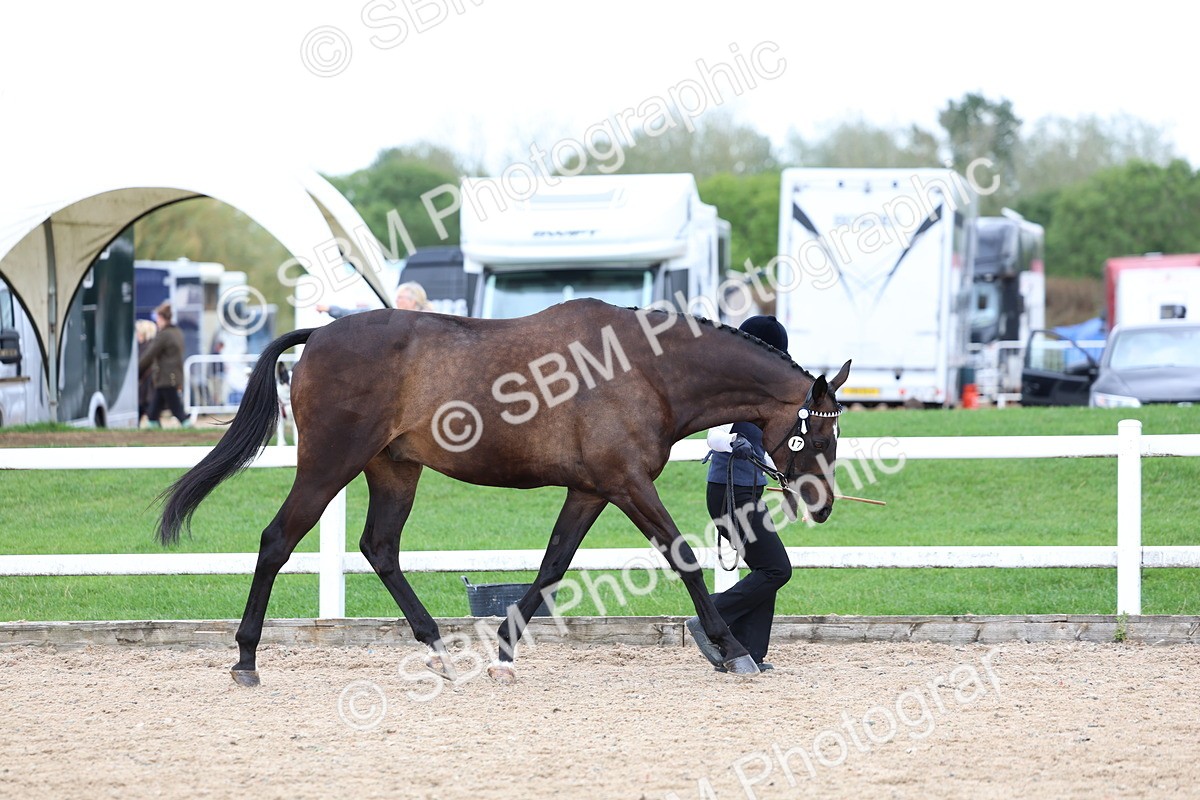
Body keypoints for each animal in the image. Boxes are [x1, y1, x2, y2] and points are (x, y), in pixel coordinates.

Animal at [157, 299, 851, 685]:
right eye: (816, 434)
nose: (823, 505)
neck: (646, 369)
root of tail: (321, 335)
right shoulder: (626, 482)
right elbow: (681, 556)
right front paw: (731, 650)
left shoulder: (590, 489)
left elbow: (551, 567)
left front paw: (504, 651)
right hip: (329, 464)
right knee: (278, 540)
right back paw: (246, 659)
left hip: (393, 470)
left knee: (380, 547)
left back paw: (437, 648)